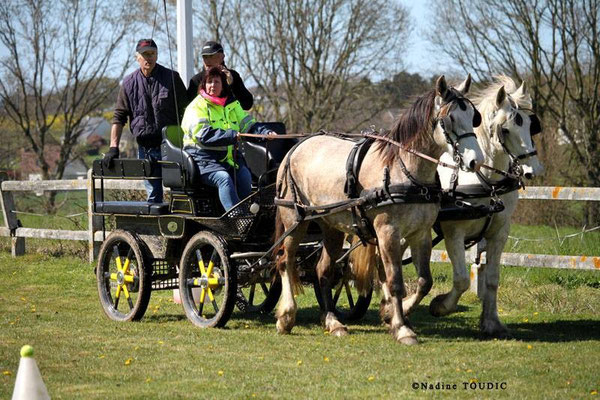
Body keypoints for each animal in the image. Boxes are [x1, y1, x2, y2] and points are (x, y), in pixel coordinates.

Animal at [428, 76, 548, 338]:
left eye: (530, 126)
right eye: (506, 129)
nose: (533, 170)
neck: (487, 183)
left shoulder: (499, 233)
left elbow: (492, 278)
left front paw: (492, 322)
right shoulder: (454, 232)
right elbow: (462, 280)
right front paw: (440, 305)